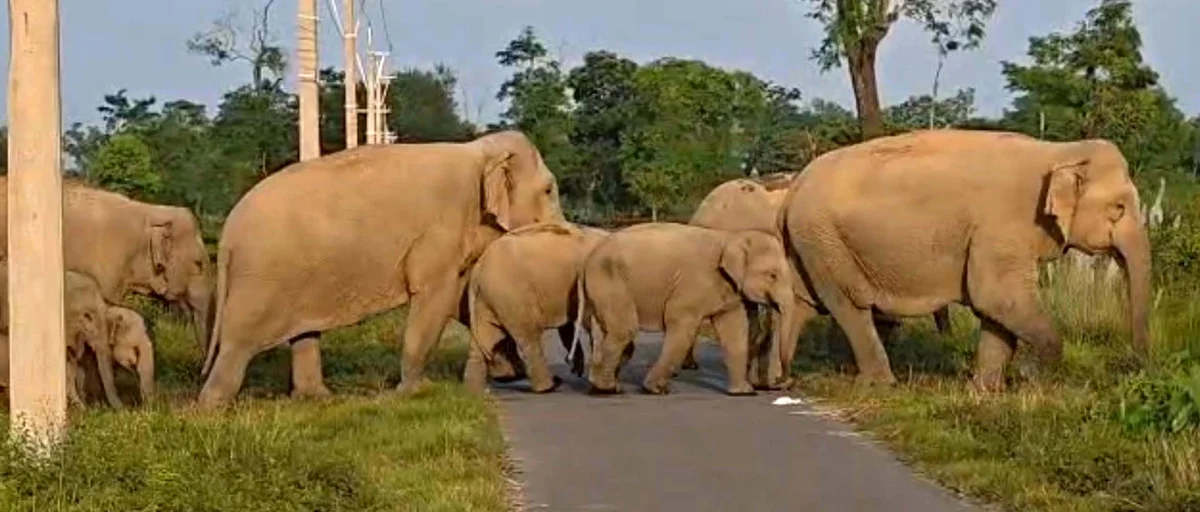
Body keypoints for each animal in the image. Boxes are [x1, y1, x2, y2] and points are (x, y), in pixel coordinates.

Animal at [198, 130, 565, 407]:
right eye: (548, 190)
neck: (480, 150)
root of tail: (227, 235)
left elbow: (460, 298)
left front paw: (510, 373)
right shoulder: (440, 229)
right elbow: (437, 295)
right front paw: (417, 393)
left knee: (303, 332)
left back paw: (317, 398)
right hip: (262, 278)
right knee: (238, 342)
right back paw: (211, 410)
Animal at [463, 222, 609, 394]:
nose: (569, 362)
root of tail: (478, 270)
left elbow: (568, 325)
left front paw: (578, 367)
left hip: (488, 299)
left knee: (483, 339)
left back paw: (472, 392)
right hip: (511, 296)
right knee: (529, 338)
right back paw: (549, 386)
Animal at [581, 223, 796, 396]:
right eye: (772, 276)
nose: (780, 383)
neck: (732, 237)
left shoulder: (729, 289)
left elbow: (734, 331)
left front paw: (743, 393)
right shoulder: (693, 284)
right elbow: (682, 326)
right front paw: (656, 390)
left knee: (611, 333)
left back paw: (601, 385)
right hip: (610, 283)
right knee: (624, 331)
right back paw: (608, 390)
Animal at [778, 129, 1151, 390]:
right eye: (1118, 208)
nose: (1135, 367)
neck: (1059, 151)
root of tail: (793, 187)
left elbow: (995, 309)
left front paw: (986, 391)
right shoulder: (1002, 225)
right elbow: (997, 297)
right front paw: (1027, 375)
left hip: (810, 242)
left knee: (803, 302)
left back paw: (781, 378)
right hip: (823, 239)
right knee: (850, 304)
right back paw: (879, 384)